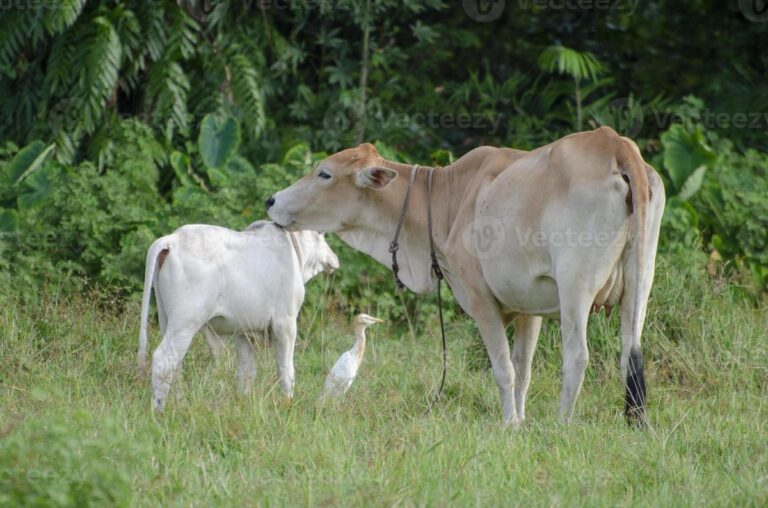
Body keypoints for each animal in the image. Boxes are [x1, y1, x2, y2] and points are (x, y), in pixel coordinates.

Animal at [137, 221, 339, 410]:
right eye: (321, 232)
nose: (334, 258)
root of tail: (174, 239)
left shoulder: (243, 331)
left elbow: (246, 372)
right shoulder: (285, 324)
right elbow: (286, 371)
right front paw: (286, 404)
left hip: (167, 322)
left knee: (175, 365)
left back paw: (179, 403)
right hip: (184, 324)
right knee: (164, 360)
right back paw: (159, 410)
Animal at [266, 127, 665, 426]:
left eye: (324, 173)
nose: (272, 201)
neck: (448, 198)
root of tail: (615, 145)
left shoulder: (480, 299)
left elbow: (504, 369)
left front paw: (509, 424)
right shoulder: (529, 308)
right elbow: (523, 370)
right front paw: (521, 421)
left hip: (575, 288)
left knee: (578, 357)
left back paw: (562, 425)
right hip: (641, 283)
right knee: (630, 354)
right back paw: (636, 423)